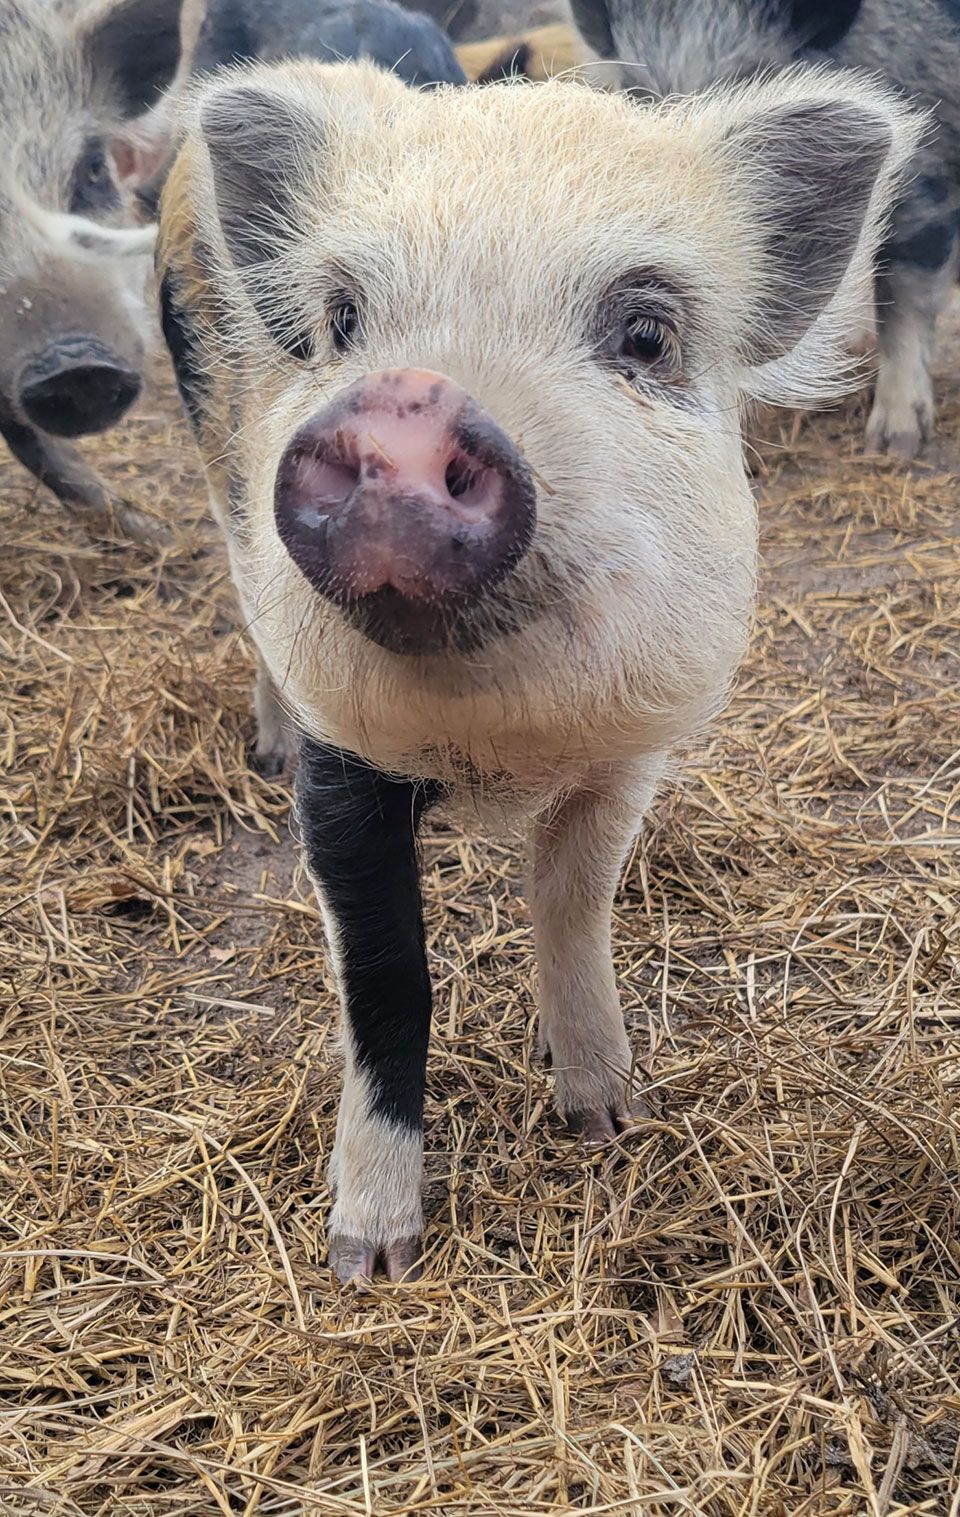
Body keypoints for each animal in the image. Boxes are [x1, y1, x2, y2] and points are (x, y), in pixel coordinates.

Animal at [157, 60, 918, 1280]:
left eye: (647, 333)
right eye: (343, 321)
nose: (404, 405)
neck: (499, 749)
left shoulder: (626, 758)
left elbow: (575, 908)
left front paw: (610, 1120)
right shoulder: (341, 766)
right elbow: (387, 974)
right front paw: (370, 1260)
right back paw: (257, 748)